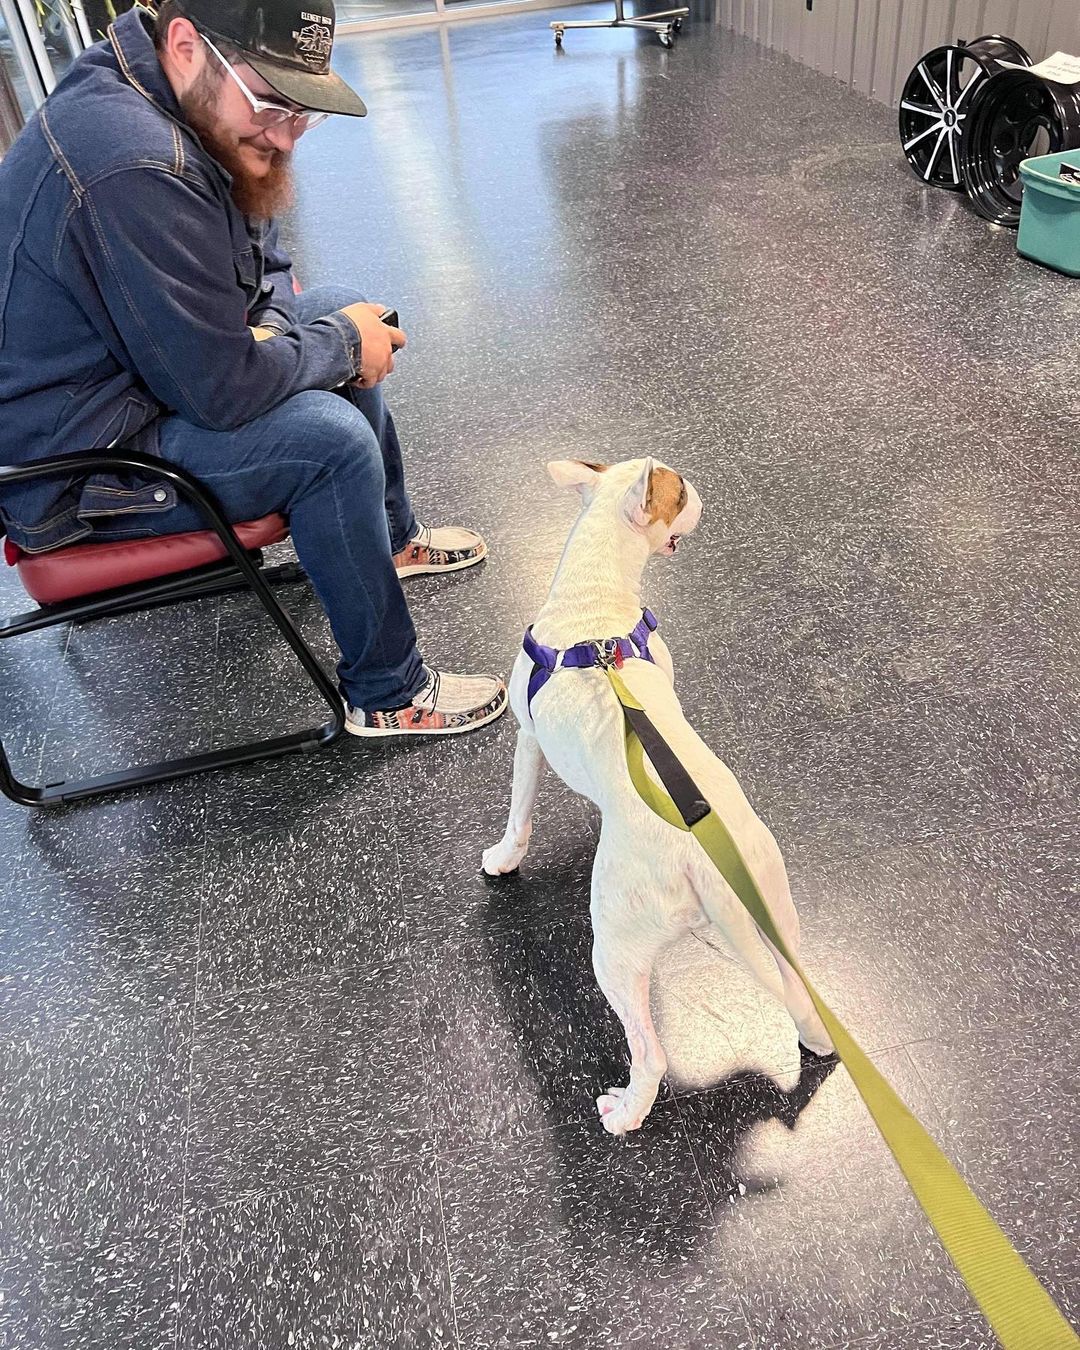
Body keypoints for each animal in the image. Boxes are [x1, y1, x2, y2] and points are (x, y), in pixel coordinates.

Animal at [483, 459, 837, 1134]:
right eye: (679, 492)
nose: (705, 492)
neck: (595, 611)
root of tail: (702, 862)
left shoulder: (527, 739)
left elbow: (518, 815)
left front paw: (504, 859)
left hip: (615, 949)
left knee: (650, 1053)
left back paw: (625, 1110)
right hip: (777, 908)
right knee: (802, 995)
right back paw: (815, 1038)